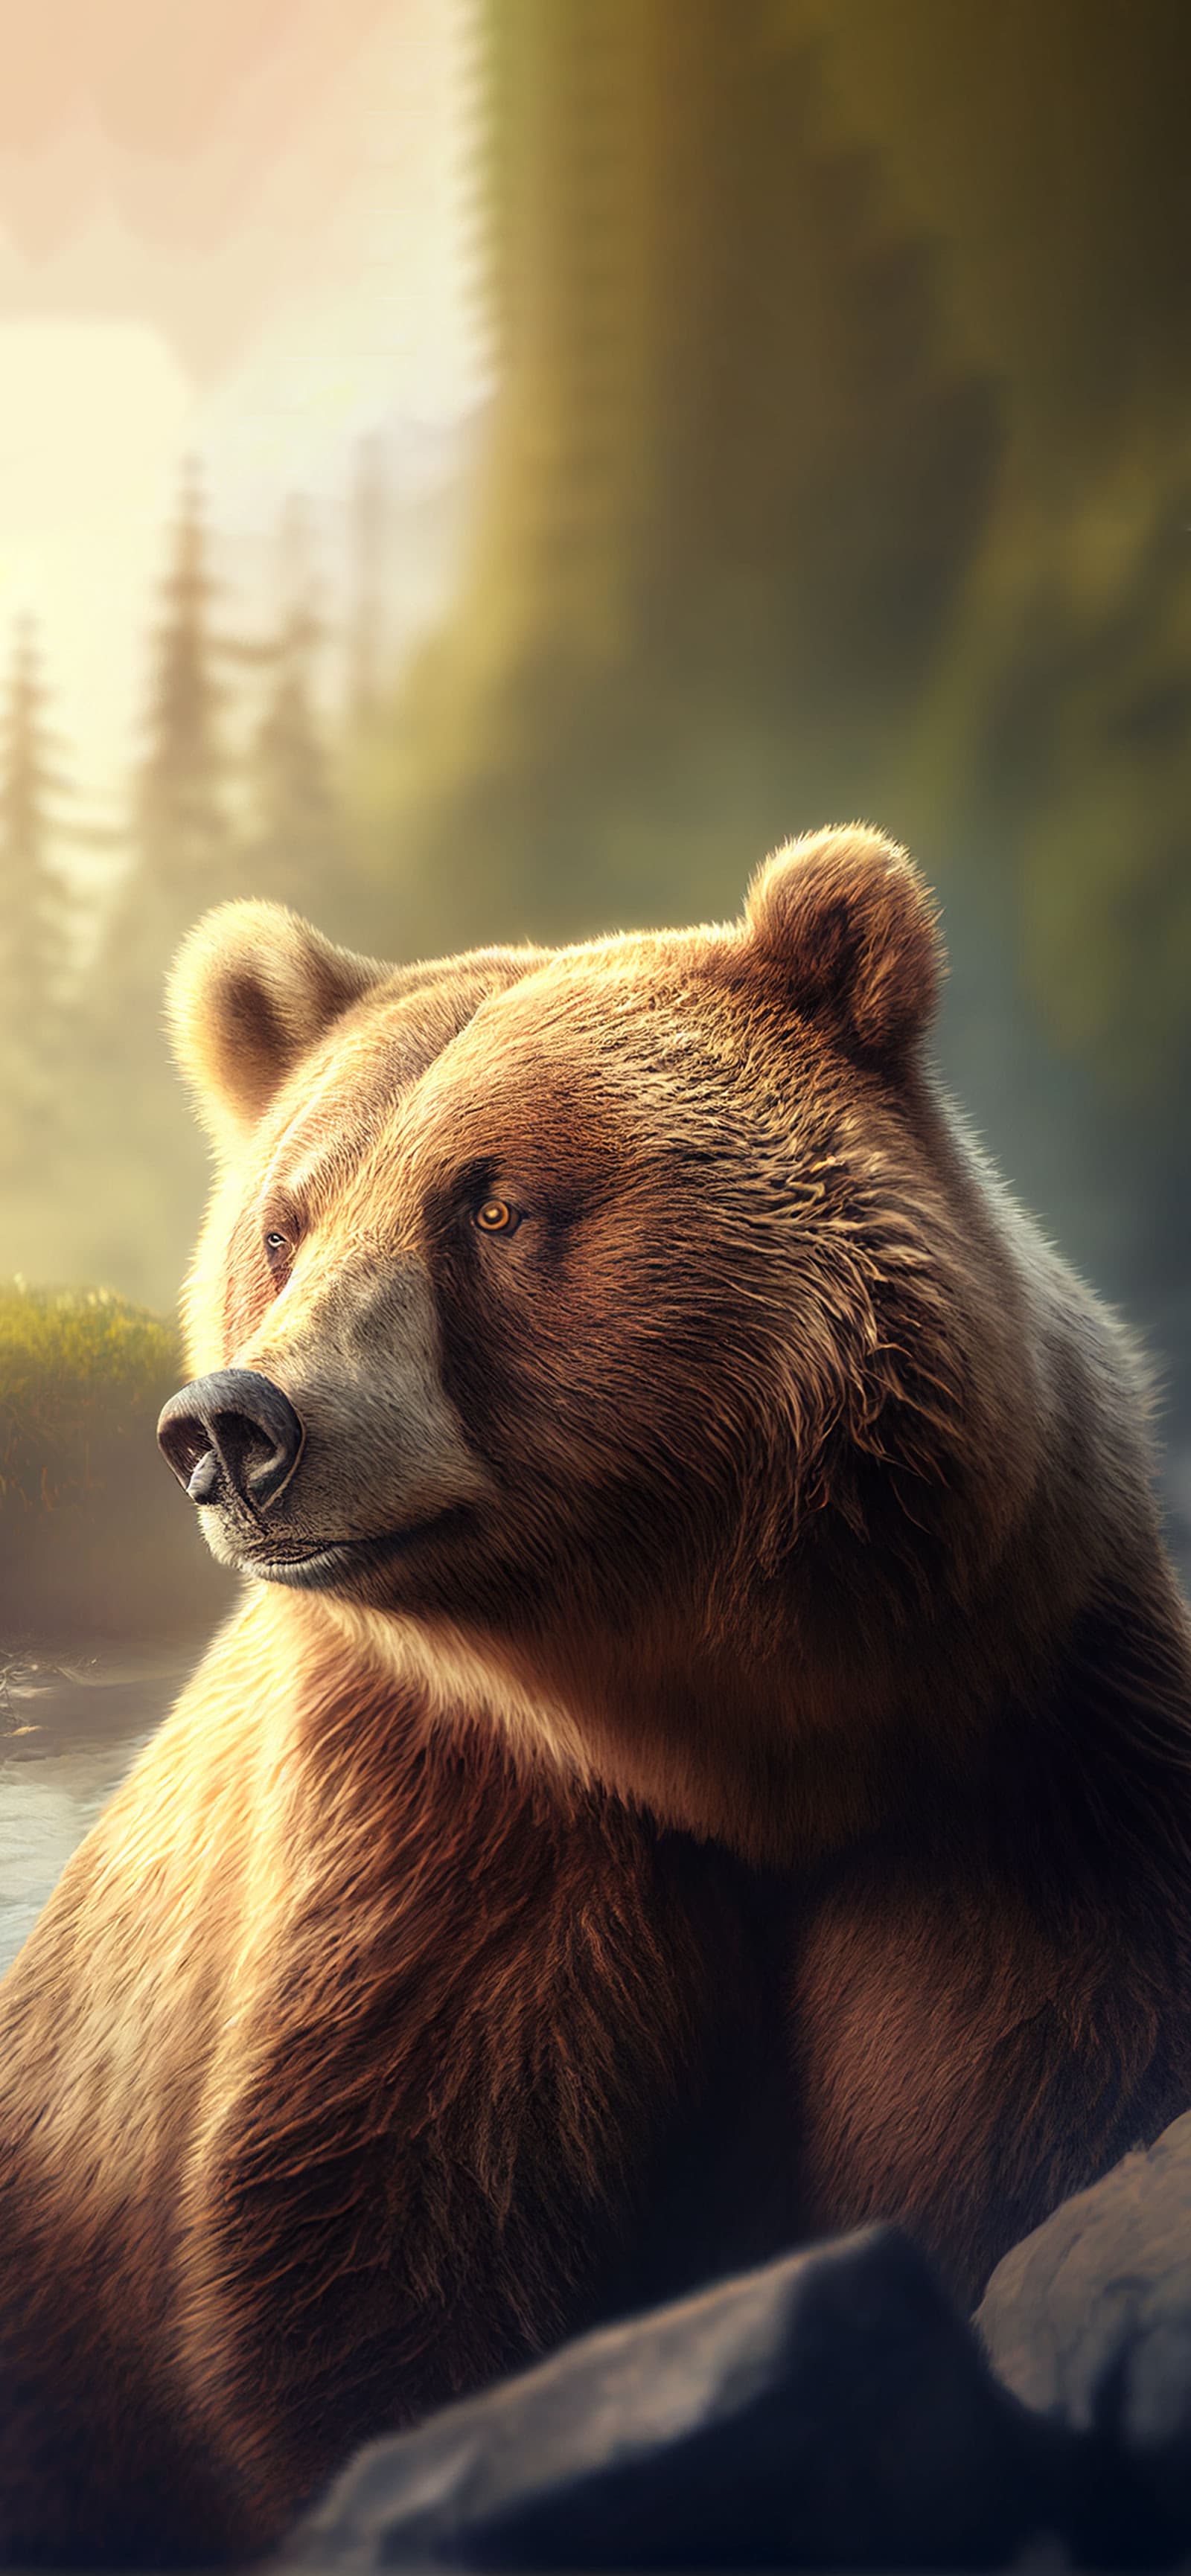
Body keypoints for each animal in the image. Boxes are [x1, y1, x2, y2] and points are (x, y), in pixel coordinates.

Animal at [2, 824, 1191, 2568]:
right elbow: (381, 2229)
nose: (235, 1425)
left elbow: (1024, 2091)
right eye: (287, 1223)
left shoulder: (1023, 1755)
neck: (719, 1716)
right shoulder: (443, 1828)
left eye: (490, 1203)